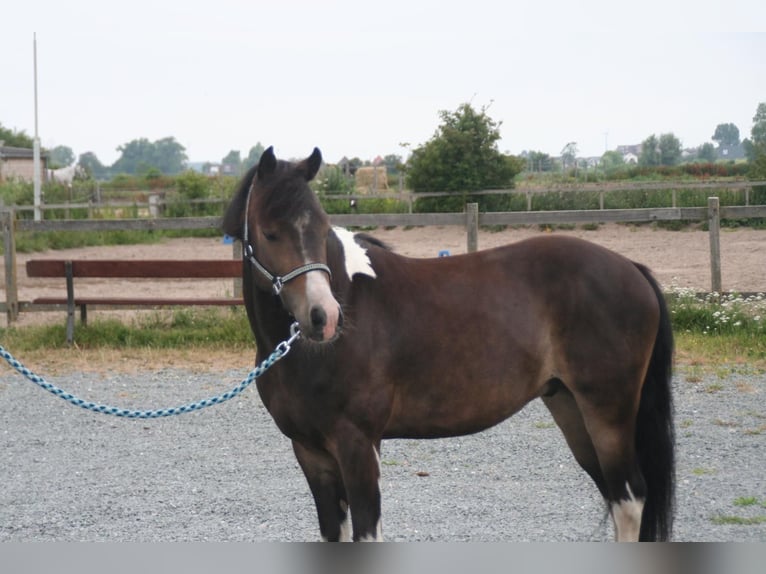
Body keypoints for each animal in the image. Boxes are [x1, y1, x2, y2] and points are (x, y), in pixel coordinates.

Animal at [222, 147, 675, 542]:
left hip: (608, 412)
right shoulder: (310, 453)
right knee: (614, 495)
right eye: (270, 233)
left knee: (629, 498)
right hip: (570, 408)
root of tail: (630, 268)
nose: (324, 316)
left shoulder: (358, 445)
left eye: (319, 228)